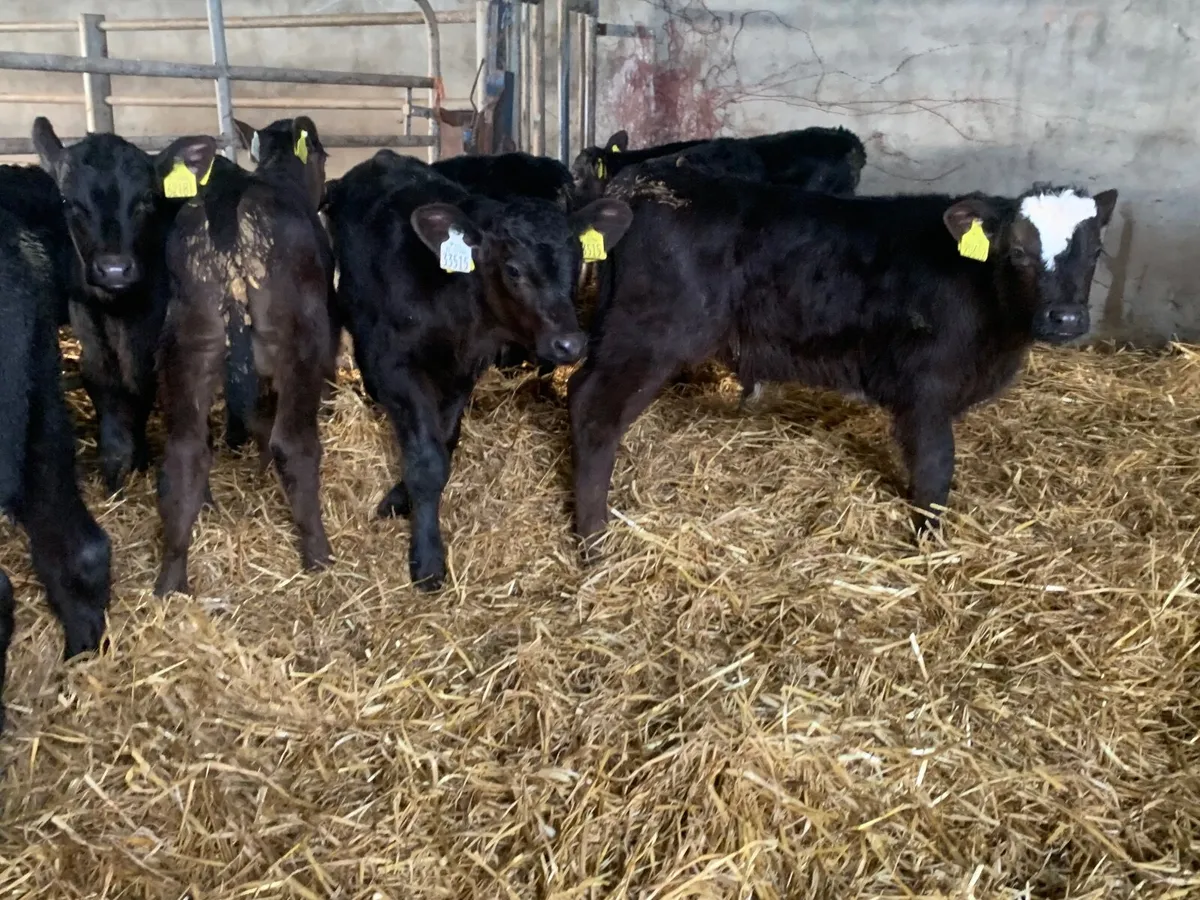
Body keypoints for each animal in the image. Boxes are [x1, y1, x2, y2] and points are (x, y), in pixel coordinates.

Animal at [30, 118, 242, 495]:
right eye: (69, 201)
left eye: (147, 199)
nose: (114, 268)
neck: (124, 312)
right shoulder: (91, 336)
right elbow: (114, 401)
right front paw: (121, 472)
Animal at [153, 116, 335, 597]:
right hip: (302, 341)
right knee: (293, 443)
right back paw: (319, 555)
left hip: (187, 346)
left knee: (184, 453)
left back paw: (171, 582)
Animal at [323, 149, 632, 589]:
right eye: (513, 269)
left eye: (577, 263)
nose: (570, 343)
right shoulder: (396, 366)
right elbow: (426, 460)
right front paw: (427, 559)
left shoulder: (464, 369)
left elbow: (444, 442)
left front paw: (405, 497)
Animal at [568, 170, 1118, 552]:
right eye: (1017, 252)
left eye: (1095, 252)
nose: (1066, 317)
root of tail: (639, 183)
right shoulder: (925, 389)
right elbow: (935, 467)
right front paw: (928, 543)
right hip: (650, 334)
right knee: (596, 410)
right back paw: (593, 539)